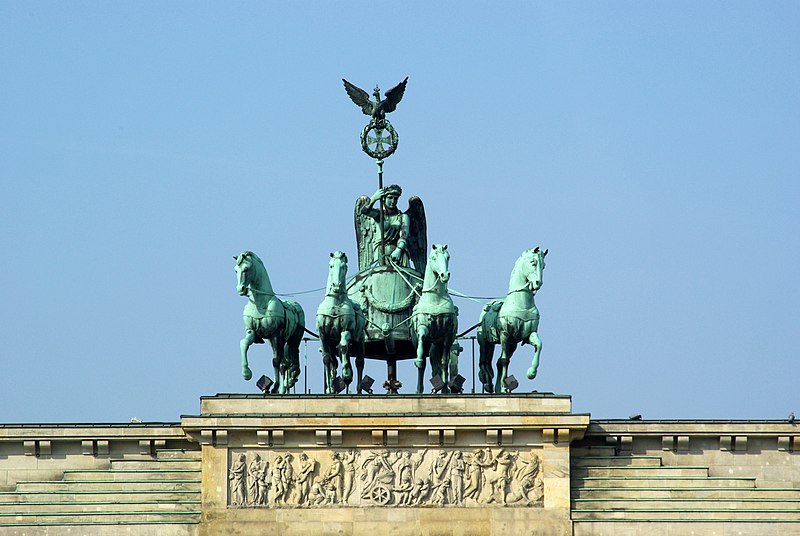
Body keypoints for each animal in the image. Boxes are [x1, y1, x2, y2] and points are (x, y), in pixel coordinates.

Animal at [234, 251, 306, 394]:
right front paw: (246, 373)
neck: (260, 303)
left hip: (292, 340)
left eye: (246, 269)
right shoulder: (252, 333)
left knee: (290, 362)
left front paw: (276, 386)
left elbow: (275, 361)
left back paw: (287, 382)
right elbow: (243, 343)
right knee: (285, 364)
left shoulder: (276, 335)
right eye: (235, 270)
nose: (240, 289)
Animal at [318, 251, 368, 394]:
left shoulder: (346, 330)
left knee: (359, 362)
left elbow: (344, 347)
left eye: (344, 267)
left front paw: (347, 375)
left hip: (359, 341)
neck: (335, 304)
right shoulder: (323, 336)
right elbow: (327, 358)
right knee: (334, 362)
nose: (336, 286)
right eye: (331, 266)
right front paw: (330, 388)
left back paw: (357, 389)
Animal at [410, 244, 460, 394]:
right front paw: (418, 390)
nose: (445, 275)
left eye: (448, 257)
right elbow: (420, 360)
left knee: (437, 366)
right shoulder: (422, 330)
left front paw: (444, 387)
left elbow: (444, 362)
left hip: (436, 345)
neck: (436, 298)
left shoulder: (447, 335)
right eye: (433, 257)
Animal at [478, 247, 548, 394]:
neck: (521, 304)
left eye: (544, 265)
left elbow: (539, 345)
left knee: (496, 362)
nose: (538, 283)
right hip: (485, 341)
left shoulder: (527, 335)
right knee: (484, 362)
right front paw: (504, 387)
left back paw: (498, 388)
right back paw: (488, 383)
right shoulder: (505, 335)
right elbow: (505, 361)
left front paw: (531, 373)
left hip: (512, 344)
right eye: (533, 262)